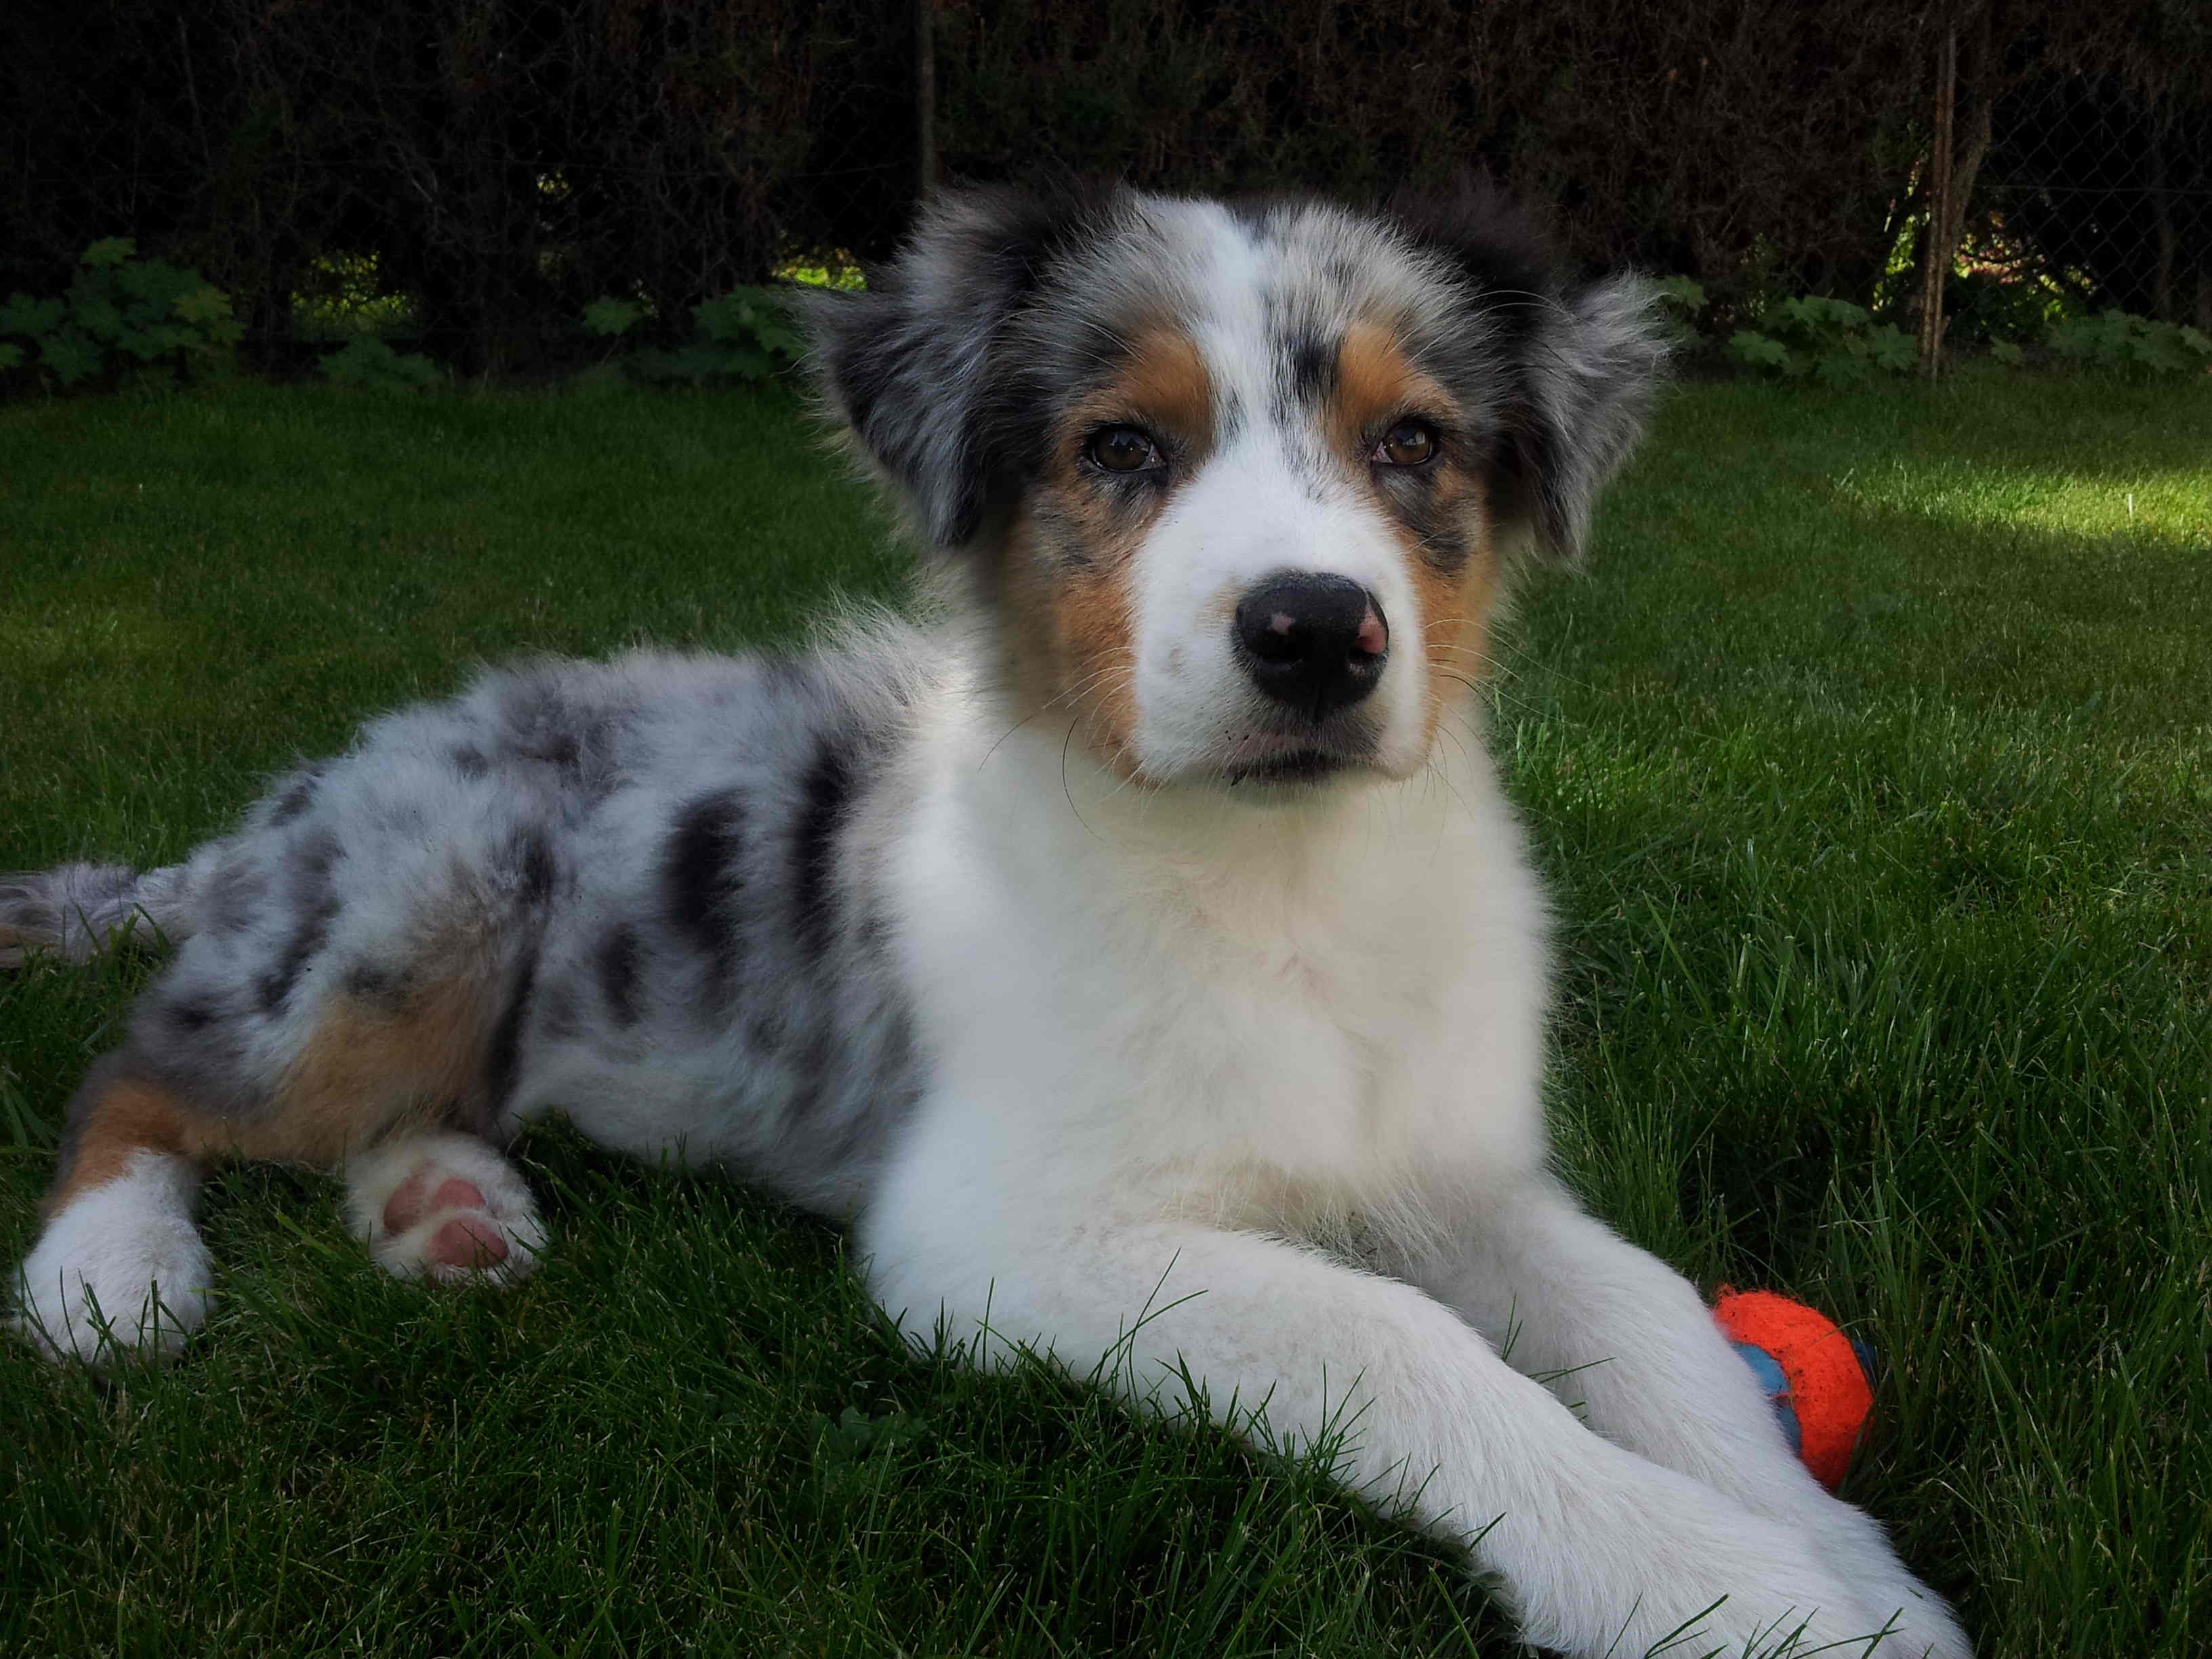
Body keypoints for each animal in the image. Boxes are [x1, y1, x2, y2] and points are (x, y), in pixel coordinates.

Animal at [4, 183, 1969, 1658]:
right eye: (1123, 447)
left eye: (1416, 442)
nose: (1315, 631)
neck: (1282, 888)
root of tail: (311, 788)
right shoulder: (1008, 1236)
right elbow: (1400, 1345)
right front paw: (1713, 1590)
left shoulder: (1456, 1163)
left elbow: (1661, 1326)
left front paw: (1842, 1567)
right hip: (422, 911)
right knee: (139, 1072)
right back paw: (112, 1274)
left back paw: (446, 1207)